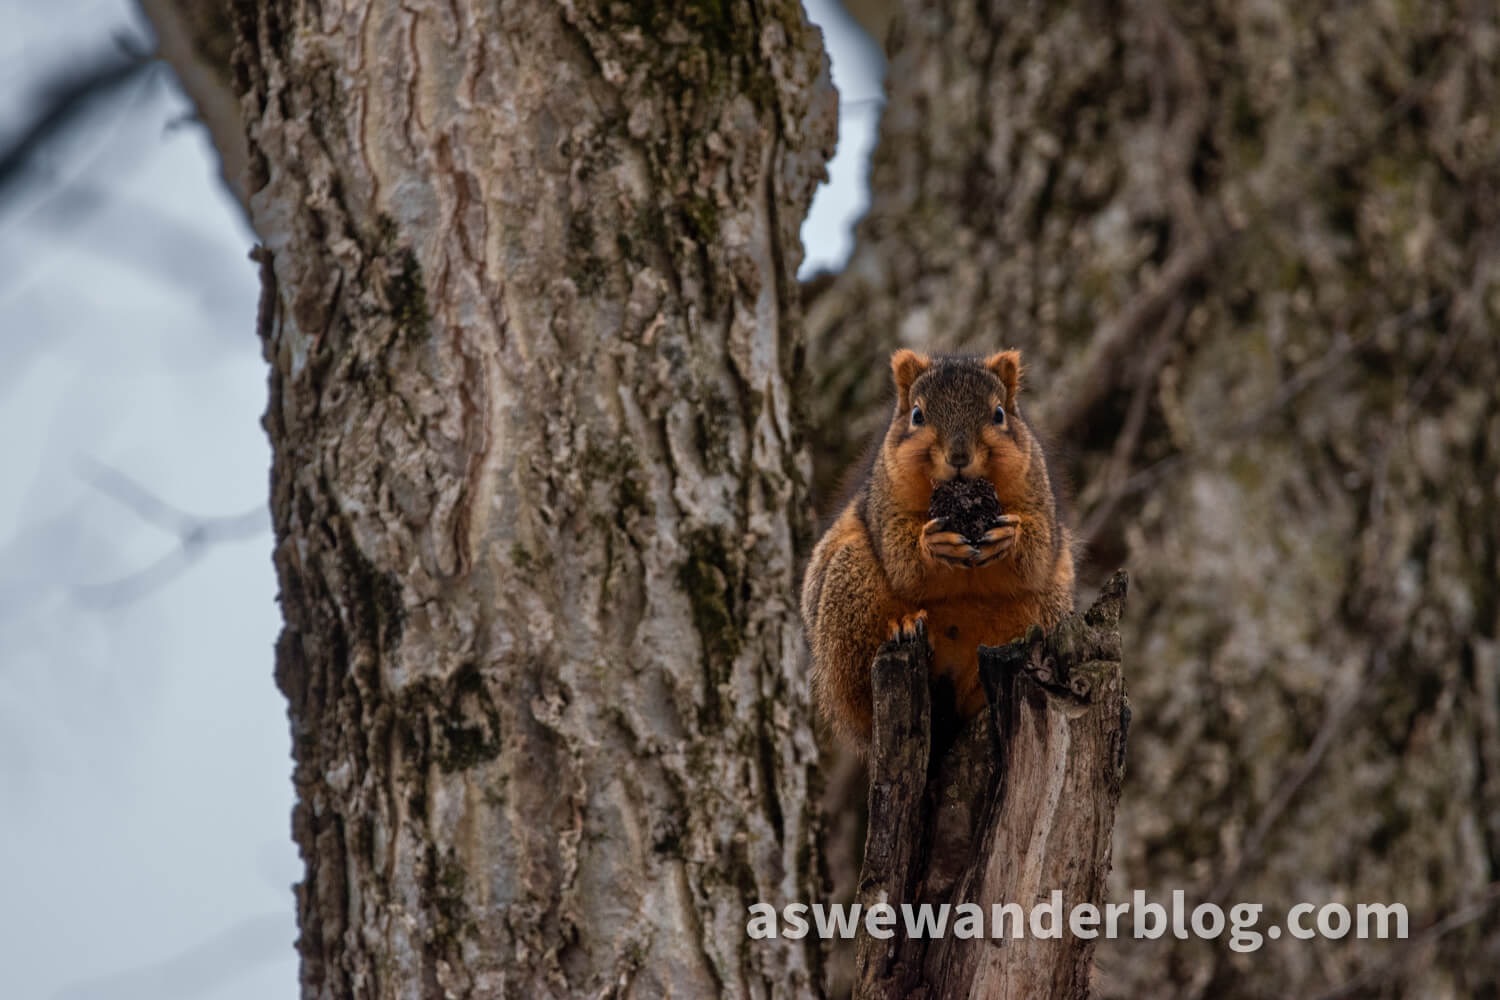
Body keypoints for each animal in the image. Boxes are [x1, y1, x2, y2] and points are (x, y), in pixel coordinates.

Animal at [800, 349, 1076, 748]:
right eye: (917, 415)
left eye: (999, 414)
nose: (959, 456)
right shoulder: (885, 502)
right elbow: (900, 556)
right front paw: (931, 544)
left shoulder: (1037, 490)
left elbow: (1038, 552)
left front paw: (1012, 537)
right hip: (847, 586)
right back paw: (904, 627)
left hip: (1045, 606)